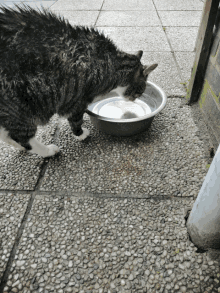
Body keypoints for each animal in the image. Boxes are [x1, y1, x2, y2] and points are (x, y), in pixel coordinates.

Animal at [0, 4, 158, 156]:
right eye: (139, 91)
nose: (133, 100)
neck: (112, 64)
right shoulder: (76, 100)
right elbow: (76, 120)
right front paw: (80, 134)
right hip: (20, 109)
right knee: (23, 138)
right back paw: (47, 151)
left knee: (8, 136)